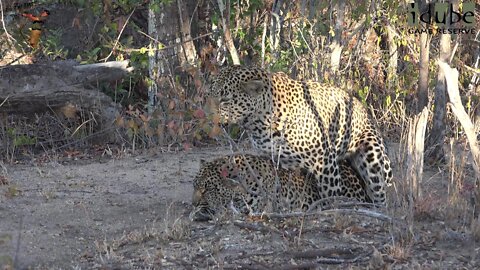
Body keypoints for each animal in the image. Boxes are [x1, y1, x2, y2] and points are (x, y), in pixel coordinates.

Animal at [207, 66, 394, 205]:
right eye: (210, 96)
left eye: (225, 100)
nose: (208, 117)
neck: (259, 122)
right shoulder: (272, 159)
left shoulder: (324, 160)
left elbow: (331, 192)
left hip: (374, 159)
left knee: (382, 194)